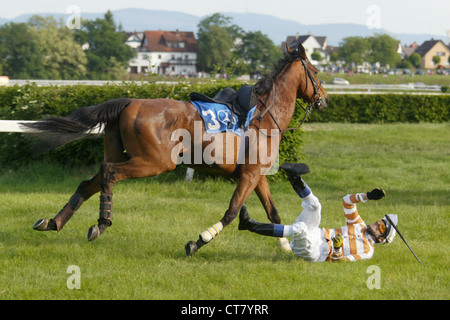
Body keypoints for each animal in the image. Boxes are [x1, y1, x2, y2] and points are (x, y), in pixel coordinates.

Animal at [23, 43, 326, 256]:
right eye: (316, 71)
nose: (324, 98)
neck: (264, 116)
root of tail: (129, 102)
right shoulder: (249, 176)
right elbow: (230, 213)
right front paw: (199, 241)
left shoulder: (257, 175)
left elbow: (273, 212)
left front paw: (285, 245)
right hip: (155, 162)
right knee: (109, 173)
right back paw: (101, 223)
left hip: (125, 154)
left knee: (88, 183)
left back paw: (53, 222)